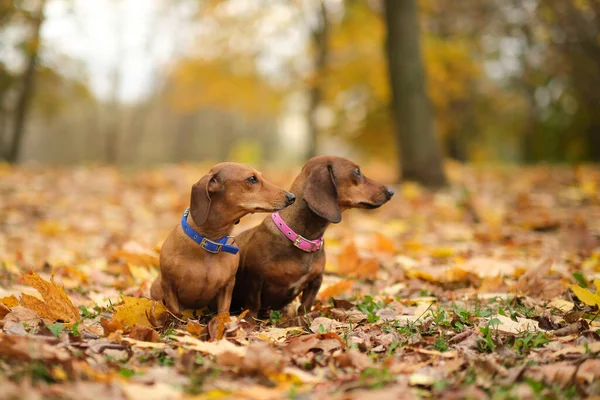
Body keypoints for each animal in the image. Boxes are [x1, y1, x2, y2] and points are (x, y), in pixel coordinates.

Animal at [150, 162, 296, 316]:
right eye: (252, 179)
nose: (292, 197)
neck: (209, 243)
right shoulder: (168, 285)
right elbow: (174, 311)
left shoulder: (227, 286)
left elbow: (223, 312)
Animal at [231, 156, 394, 322]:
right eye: (357, 171)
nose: (390, 191)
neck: (300, 238)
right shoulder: (255, 279)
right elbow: (253, 306)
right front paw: (250, 323)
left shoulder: (316, 280)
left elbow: (305, 306)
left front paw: (302, 320)